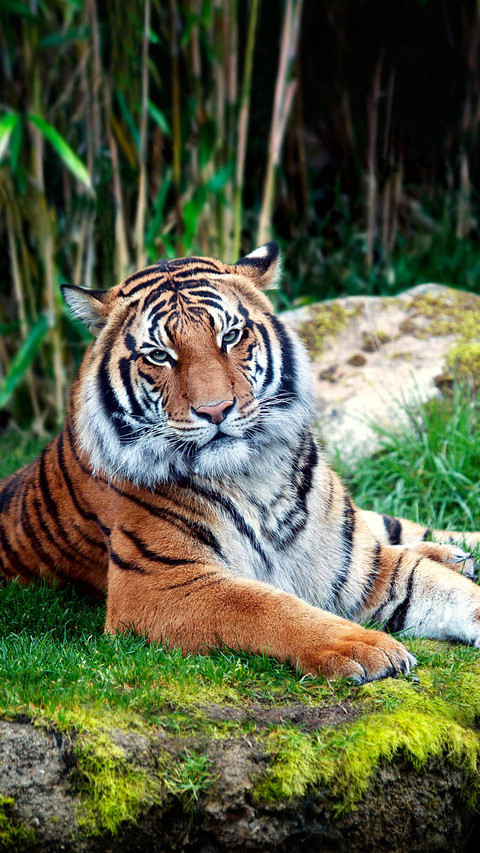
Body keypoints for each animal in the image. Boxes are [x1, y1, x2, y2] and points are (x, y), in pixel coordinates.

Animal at [1, 241, 480, 684]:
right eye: (159, 355)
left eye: (229, 336)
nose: (215, 410)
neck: (253, 476)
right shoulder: (159, 584)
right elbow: (265, 605)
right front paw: (362, 646)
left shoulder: (354, 563)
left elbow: (446, 589)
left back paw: (458, 554)